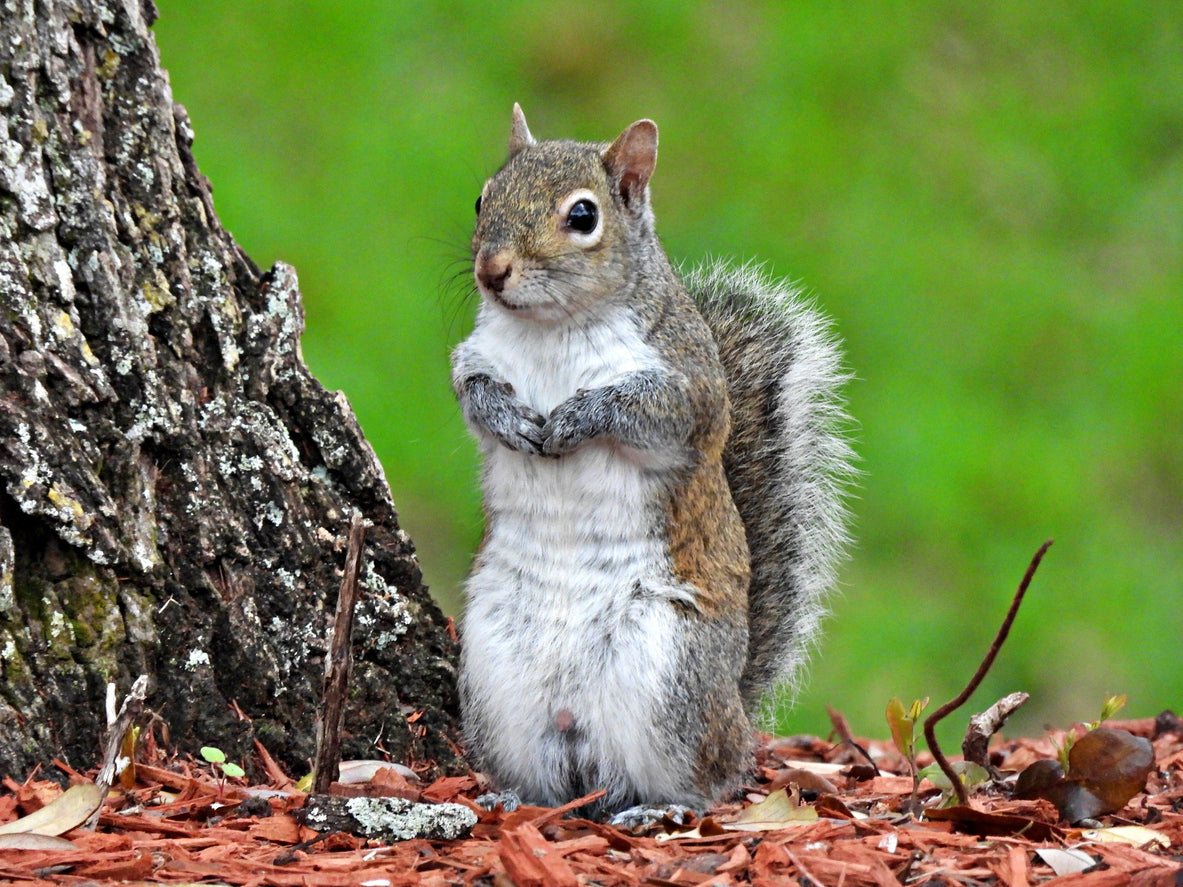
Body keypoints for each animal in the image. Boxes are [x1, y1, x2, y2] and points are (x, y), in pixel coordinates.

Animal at [452, 104, 852, 816]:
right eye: (482, 198)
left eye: (583, 216)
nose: (490, 270)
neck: (551, 328)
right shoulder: (474, 357)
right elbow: (472, 394)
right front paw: (509, 420)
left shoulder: (689, 390)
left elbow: (641, 412)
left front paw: (577, 419)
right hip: (495, 683)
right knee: (548, 779)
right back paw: (512, 799)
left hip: (672, 678)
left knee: (713, 779)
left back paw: (664, 807)